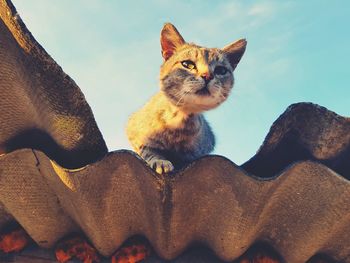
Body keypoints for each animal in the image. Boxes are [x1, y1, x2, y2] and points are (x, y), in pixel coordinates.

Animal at [126, 23, 246, 175]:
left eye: (221, 70)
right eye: (187, 64)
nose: (207, 76)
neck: (178, 121)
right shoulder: (133, 131)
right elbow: (148, 149)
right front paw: (160, 161)